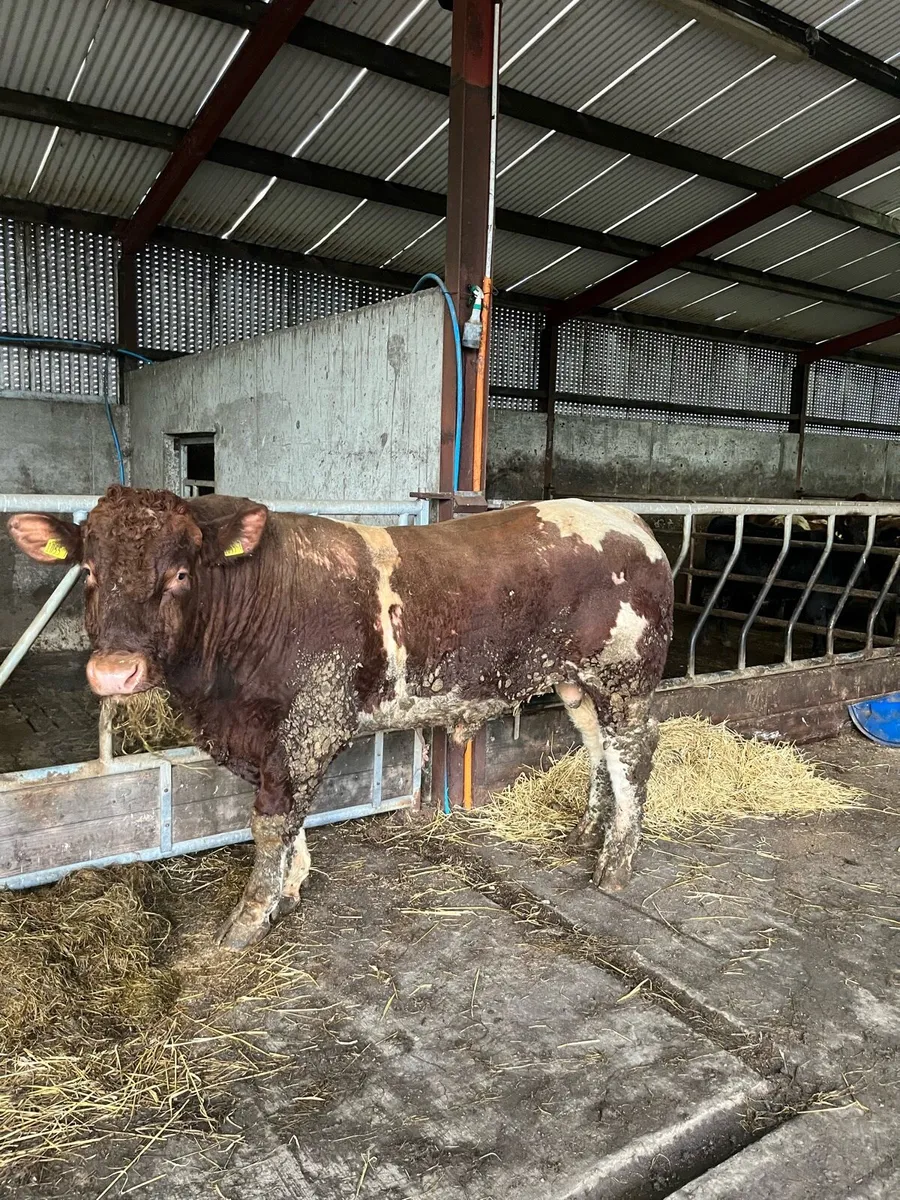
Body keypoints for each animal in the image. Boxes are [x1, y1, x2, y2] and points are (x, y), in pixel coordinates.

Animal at [8, 488, 673, 949]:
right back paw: (586, 833)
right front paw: (290, 885)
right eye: (89, 571)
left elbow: (271, 820)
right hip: (575, 680)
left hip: (626, 676)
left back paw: (613, 866)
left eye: (179, 573)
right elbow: (286, 816)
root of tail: (629, 522)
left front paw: (249, 918)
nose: (114, 671)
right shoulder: (268, 739)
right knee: (597, 747)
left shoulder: (313, 720)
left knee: (635, 751)